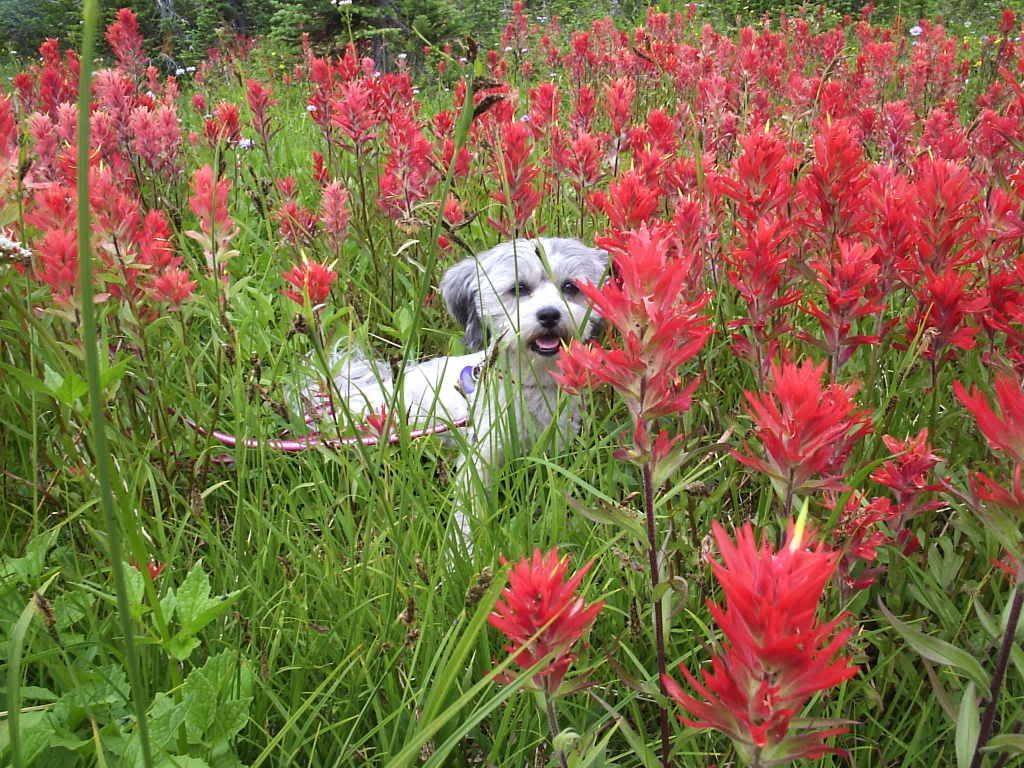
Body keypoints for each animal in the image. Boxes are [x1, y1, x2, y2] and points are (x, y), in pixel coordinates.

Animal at [319, 237, 606, 544]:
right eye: (519, 288)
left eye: (570, 287)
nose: (550, 314)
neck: (530, 384)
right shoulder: (482, 452)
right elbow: (469, 505)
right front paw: (464, 545)